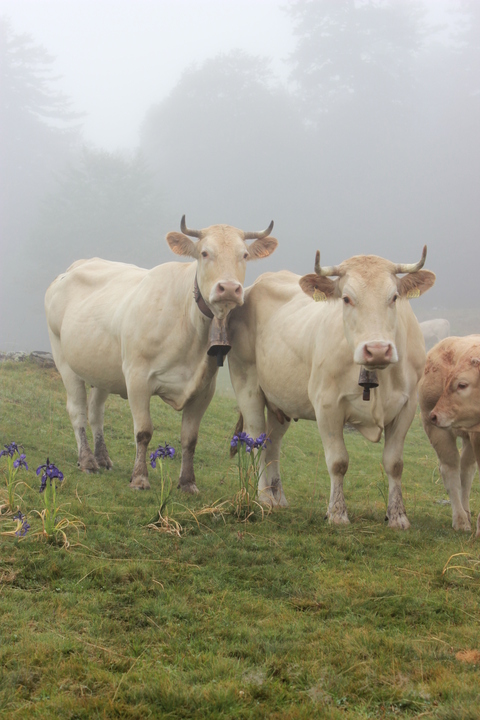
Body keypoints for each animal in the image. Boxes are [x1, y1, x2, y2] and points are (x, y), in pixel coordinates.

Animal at [46, 217, 278, 492]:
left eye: (244, 255)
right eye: (204, 253)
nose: (230, 288)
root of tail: (72, 268)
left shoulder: (204, 389)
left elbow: (190, 438)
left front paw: (187, 482)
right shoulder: (137, 377)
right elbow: (144, 431)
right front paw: (139, 478)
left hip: (102, 369)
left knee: (95, 411)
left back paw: (102, 458)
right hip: (63, 357)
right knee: (77, 410)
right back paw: (87, 461)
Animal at [228, 248, 436, 528]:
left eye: (394, 297)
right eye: (346, 298)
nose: (377, 350)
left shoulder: (407, 405)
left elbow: (394, 463)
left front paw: (398, 516)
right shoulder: (327, 405)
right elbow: (338, 462)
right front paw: (337, 513)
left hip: (280, 402)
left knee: (272, 443)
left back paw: (278, 497)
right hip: (247, 385)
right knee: (256, 440)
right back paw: (264, 497)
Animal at [418, 334, 480, 536]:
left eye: (462, 384)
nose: (435, 415)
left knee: (466, 472)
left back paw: (467, 513)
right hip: (436, 428)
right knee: (450, 469)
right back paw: (460, 520)